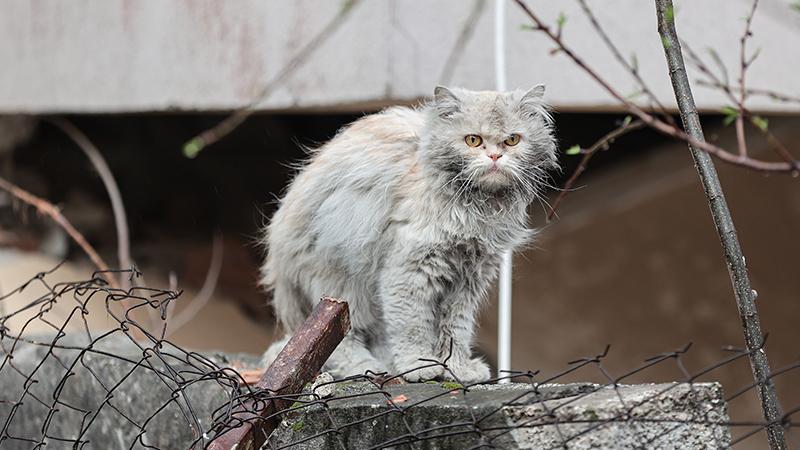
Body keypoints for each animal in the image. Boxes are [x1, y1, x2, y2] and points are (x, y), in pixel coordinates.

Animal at [260, 85, 556, 384]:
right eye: (473, 140)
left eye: (512, 140)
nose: (495, 157)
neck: (477, 208)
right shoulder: (408, 270)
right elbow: (411, 326)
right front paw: (421, 365)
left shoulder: (468, 279)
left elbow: (456, 330)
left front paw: (458, 368)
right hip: (339, 286)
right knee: (338, 340)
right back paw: (365, 368)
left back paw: (388, 364)